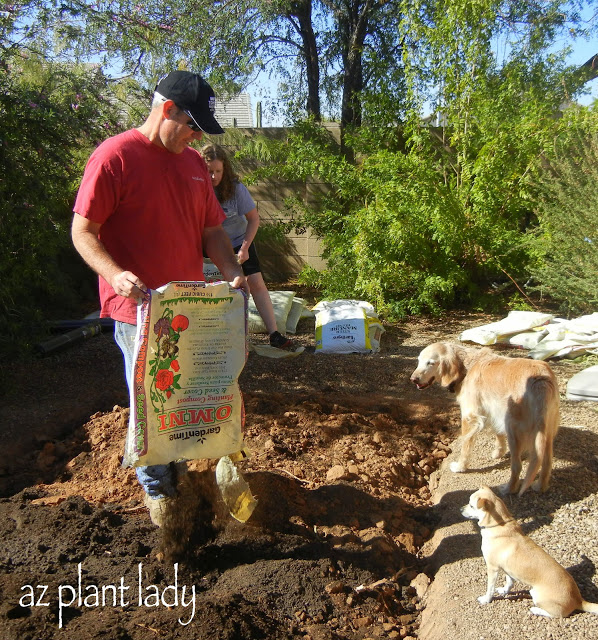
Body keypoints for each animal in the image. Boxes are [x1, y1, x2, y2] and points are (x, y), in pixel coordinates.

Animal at [410, 340, 560, 496]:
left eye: (431, 363)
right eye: (419, 361)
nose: (413, 379)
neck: (466, 366)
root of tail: (540, 381)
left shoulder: (470, 417)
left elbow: (465, 446)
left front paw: (460, 466)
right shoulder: (492, 411)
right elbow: (498, 433)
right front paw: (498, 452)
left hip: (514, 431)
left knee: (517, 466)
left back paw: (508, 489)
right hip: (547, 431)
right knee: (547, 463)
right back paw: (540, 486)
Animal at [466, 488, 598, 616]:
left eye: (471, 505)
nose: (462, 509)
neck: (499, 525)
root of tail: (579, 600)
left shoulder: (492, 568)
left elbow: (490, 588)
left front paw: (486, 600)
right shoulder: (508, 569)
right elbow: (509, 582)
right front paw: (504, 591)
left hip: (536, 593)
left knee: (556, 615)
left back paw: (536, 610)